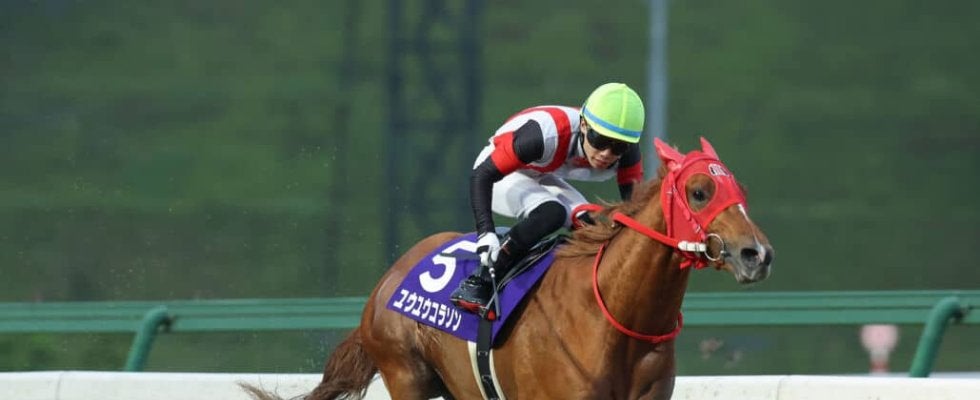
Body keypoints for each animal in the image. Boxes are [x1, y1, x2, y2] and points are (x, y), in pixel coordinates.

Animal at [245, 137, 773, 400]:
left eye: (740, 189)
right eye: (700, 191)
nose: (758, 254)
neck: (614, 315)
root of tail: (387, 280)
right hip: (406, 373)